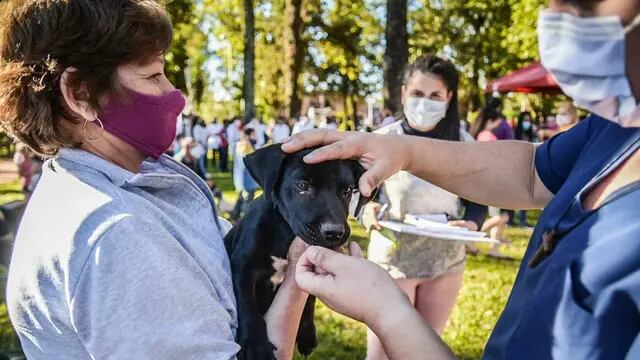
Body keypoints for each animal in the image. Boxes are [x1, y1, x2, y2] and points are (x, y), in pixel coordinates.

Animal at [225, 144, 376, 360]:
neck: (285, 233)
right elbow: (247, 306)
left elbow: (309, 299)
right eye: (303, 186)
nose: (334, 233)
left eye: (347, 190)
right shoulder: (242, 267)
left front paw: (306, 334)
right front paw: (256, 348)